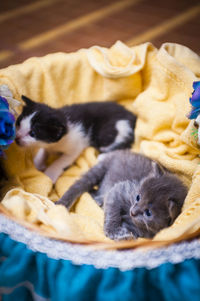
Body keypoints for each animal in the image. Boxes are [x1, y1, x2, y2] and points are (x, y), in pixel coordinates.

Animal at [56, 149, 188, 239]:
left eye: (148, 213)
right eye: (138, 197)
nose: (133, 212)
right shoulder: (120, 190)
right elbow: (112, 211)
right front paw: (113, 231)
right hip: (99, 170)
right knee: (79, 185)